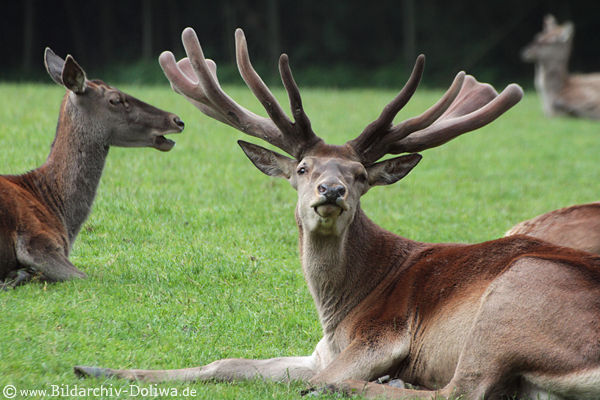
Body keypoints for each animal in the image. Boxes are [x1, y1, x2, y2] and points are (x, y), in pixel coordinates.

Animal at [74, 28, 600, 400]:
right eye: (303, 168)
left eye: (360, 175)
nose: (332, 190)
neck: (341, 308)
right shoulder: (319, 350)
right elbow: (225, 365)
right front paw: (95, 367)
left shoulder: (381, 336)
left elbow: (309, 376)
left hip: (513, 294)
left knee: (455, 391)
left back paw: (383, 384)